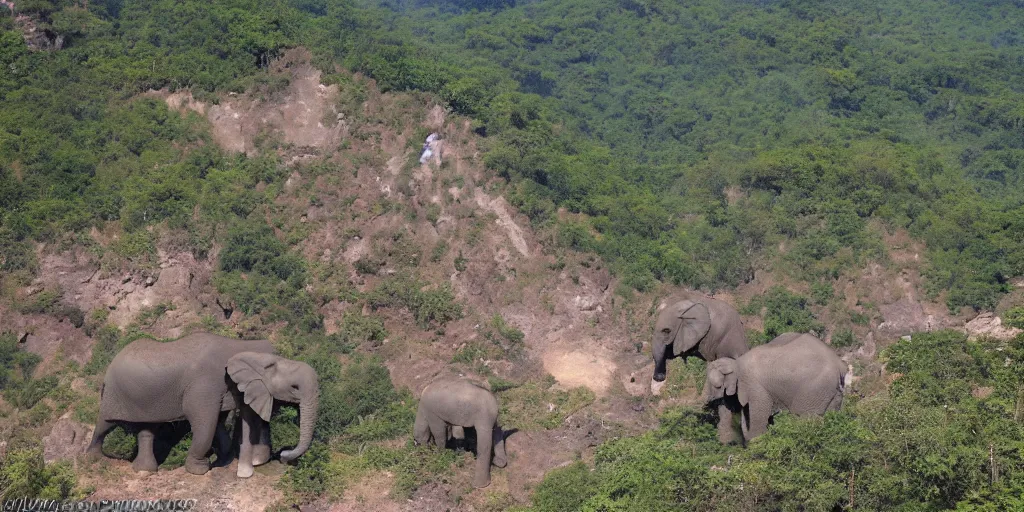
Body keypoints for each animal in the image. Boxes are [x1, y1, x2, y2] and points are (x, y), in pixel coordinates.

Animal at [88, 331, 319, 475]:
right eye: (294, 388)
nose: (284, 455)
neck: (241, 346)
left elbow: (219, 420)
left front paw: (225, 461)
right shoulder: (204, 385)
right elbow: (204, 422)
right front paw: (200, 470)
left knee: (147, 429)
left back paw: (144, 470)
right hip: (113, 394)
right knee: (105, 423)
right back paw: (94, 458)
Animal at [704, 333, 847, 442]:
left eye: (713, 385)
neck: (736, 363)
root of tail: (840, 365)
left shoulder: (754, 386)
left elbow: (759, 417)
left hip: (815, 387)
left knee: (805, 417)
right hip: (832, 390)